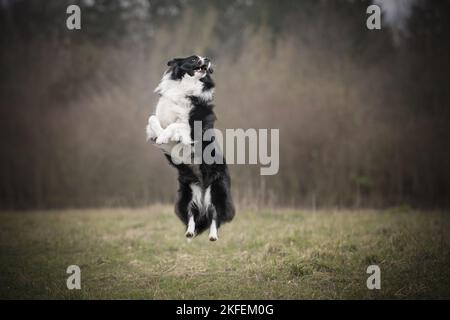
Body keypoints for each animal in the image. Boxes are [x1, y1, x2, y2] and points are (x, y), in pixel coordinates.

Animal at [146, 55, 236, 240]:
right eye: (194, 59)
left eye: (203, 59)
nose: (206, 59)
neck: (185, 88)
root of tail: (201, 191)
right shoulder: (158, 119)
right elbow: (153, 120)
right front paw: (160, 135)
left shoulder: (194, 131)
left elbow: (176, 125)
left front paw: (165, 136)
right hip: (186, 194)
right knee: (191, 213)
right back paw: (190, 231)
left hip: (217, 191)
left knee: (216, 216)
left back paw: (213, 235)